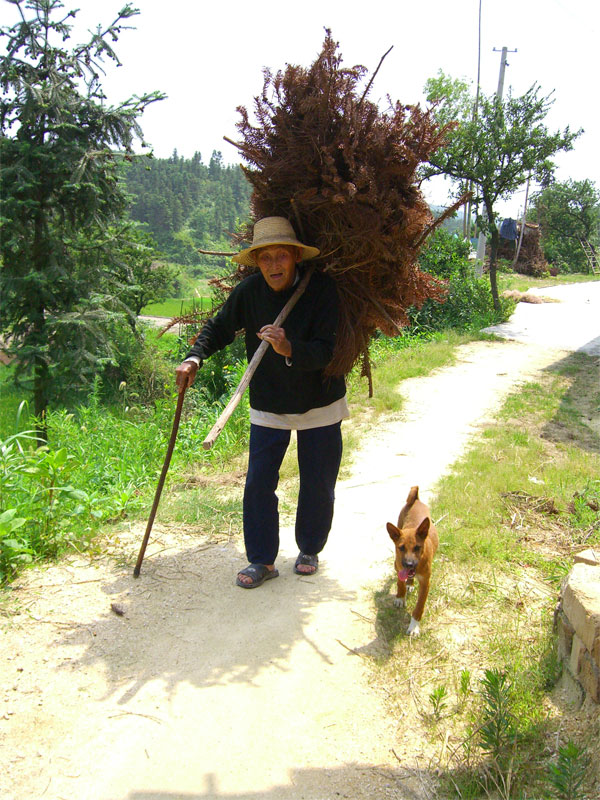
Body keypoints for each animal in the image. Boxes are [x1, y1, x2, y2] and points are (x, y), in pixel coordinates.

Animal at [386, 484, 438, 636]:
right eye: (401, 548)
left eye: (417, 547)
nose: (409, 564)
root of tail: (415, 500)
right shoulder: (399, 567)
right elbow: (399, 583)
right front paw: (400, 597)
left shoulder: (426, 583)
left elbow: (419, 607)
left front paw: (414, 626)